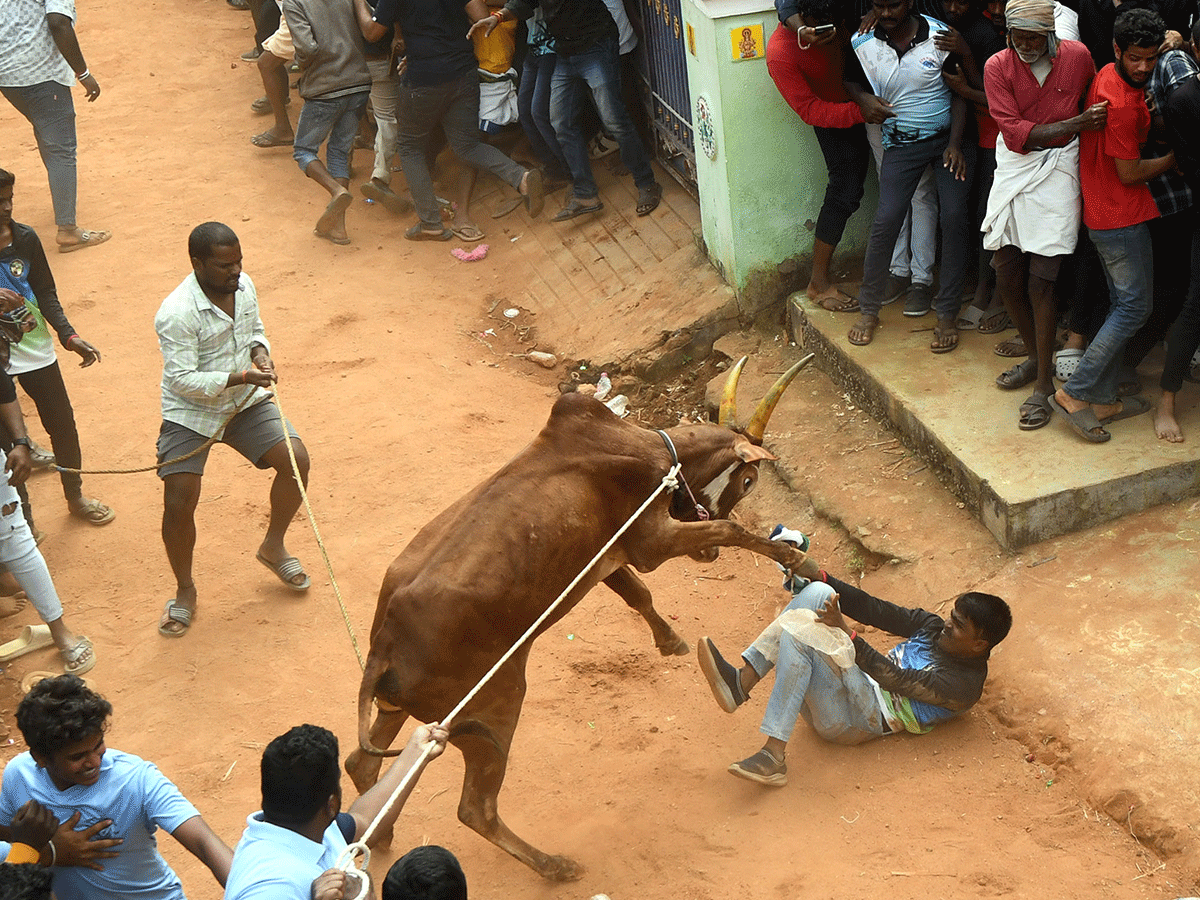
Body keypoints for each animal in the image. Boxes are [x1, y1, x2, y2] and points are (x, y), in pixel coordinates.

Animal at [348, 355, 816, 883]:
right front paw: (794, 557)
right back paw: (554, 866)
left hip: (401, 709)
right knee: (475, 810)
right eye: (749, 481)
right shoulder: (651, 541)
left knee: (362, 765)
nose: (707, 558)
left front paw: (671, 641)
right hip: (495, 709)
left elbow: (639, 594)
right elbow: (729, 530)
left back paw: (381, 833)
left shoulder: (608, 558)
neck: (655, 449)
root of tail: (384, 644)